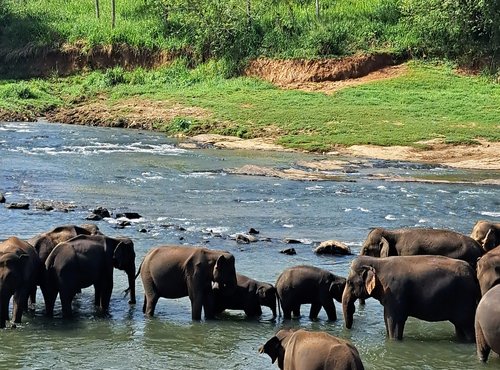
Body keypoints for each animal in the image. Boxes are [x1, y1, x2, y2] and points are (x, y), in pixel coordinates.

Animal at [342, 254, 478, 342]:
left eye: (348, 282)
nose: (349, 330)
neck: (377, 261)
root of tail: (472, 272)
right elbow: (387, 319)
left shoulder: (395, 293)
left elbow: (394, 321)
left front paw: (394, 341)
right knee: (459, 327)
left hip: (464, 300)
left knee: (468, 327)